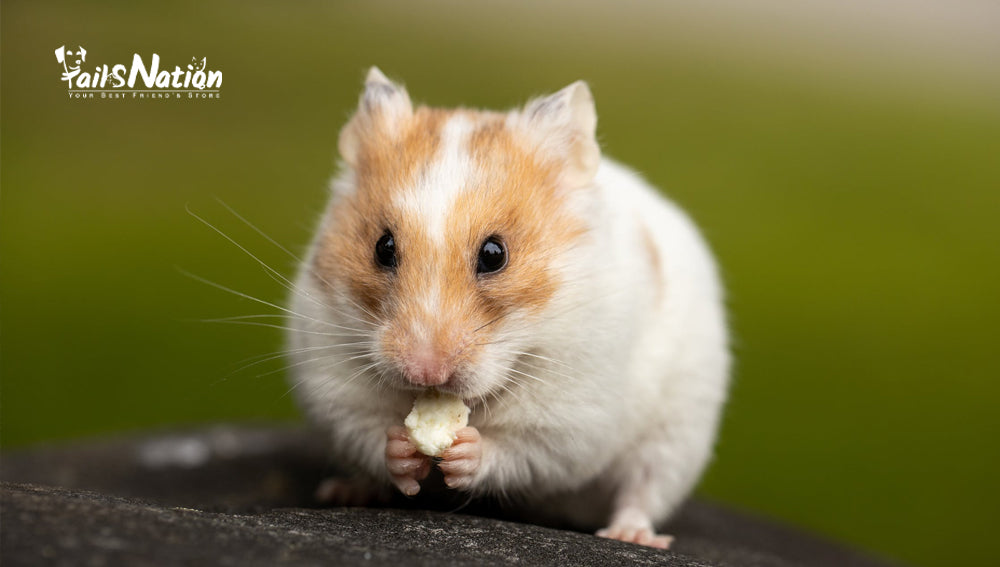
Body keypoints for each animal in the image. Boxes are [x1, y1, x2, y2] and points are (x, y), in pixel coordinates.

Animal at [287, 67, 730, 549]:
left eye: (495, 254)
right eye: (382, 248)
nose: (425, 373)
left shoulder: (571, 418)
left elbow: (518, 451)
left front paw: (465, 451)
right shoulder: (334, 383)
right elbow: (369, 432)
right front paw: (403, 450)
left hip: (677, 433)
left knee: (643, 489)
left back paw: (631, 535)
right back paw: (344, 491)